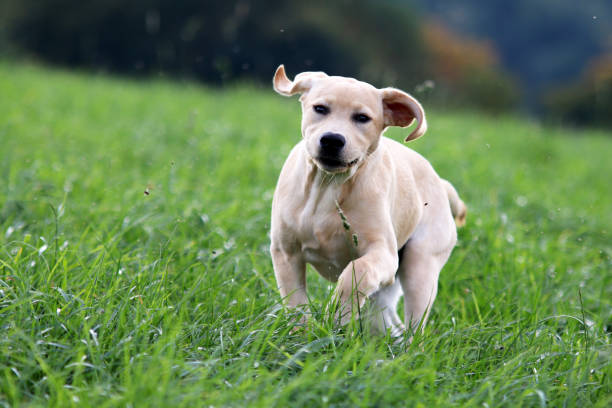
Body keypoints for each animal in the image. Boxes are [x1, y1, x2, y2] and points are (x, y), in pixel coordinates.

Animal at [270, 64, 466, 338]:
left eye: (362, 118)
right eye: (320, 109)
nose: (332, 139)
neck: (327, 187)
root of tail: (441, 183)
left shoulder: (384, 254)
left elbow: (356, 270)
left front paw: (338, 315)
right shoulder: (286, 252)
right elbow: (295, 303)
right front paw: (301, 336)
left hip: (421, 265)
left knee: (414, 326)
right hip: (384, 296)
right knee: (390, 322)